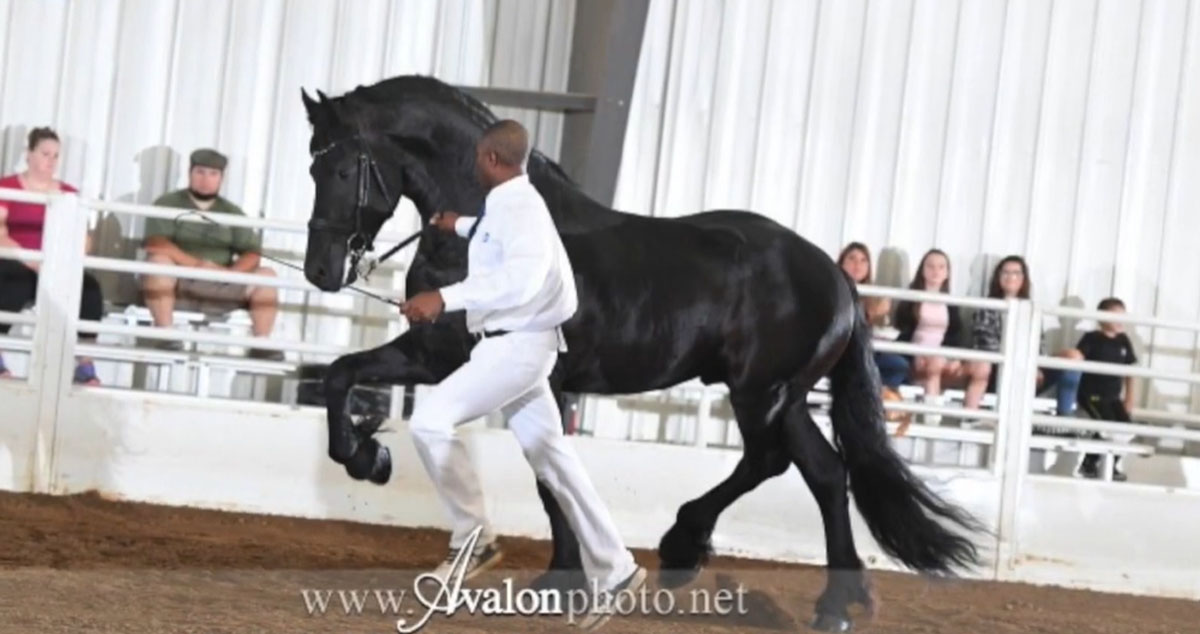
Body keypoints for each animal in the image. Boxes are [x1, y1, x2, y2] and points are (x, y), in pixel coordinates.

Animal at [297, 74, 974, 629]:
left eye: (341, 170)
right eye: (311, 169)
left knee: (773, 462)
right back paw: (831, 604)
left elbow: (547, 475)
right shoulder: (454, 358)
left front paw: (563, 579)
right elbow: (342, 377)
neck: (483, 228)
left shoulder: (485, 365)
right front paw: (369, 456)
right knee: (825, 473)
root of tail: (838, 277)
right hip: (785, 397)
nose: (321, 271)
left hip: (761, 393)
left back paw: (687, 548)